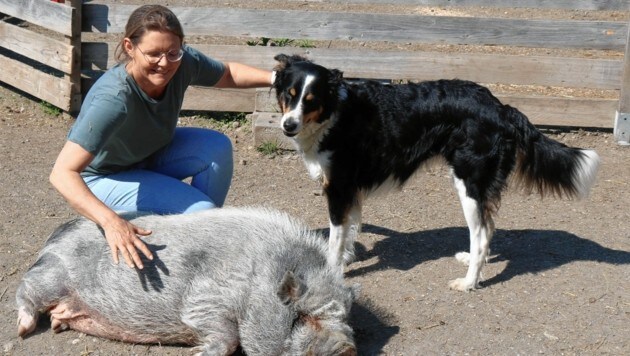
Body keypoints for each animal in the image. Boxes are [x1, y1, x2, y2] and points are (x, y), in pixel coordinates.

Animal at [14, 206, 358, 356]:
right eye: (302, 316)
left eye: (344, 319)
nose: (346, 348)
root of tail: (57, 234)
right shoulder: (203, 300)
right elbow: (226, 339)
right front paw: (199, 353)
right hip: (50, 276)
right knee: (25, 291)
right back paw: (23, 330)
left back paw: (58, 325)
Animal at [272, 54, 604, 290]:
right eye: (289, 95)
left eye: (310, 101)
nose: (288, 125)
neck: (334, 115)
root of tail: (501, 108)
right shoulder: (351, 189)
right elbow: (351, 230)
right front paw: (347, 259)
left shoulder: (339, 188)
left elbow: (335, 238)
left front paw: (332, 269)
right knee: (488, 228)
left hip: (469, 183)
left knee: (481, 232)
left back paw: (469, 282)